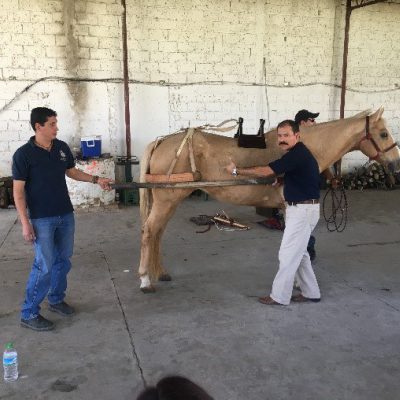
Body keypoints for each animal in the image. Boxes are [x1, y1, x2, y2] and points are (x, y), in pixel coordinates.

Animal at [138, 108, 400, 292]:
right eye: (384, 133)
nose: (396, 164)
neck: (304, 148)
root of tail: (162, 141)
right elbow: (299, 246)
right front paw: (296, 282)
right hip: (166, 201)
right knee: (149, 231)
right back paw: (145, 280)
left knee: (158, 233)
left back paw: (160, 272)